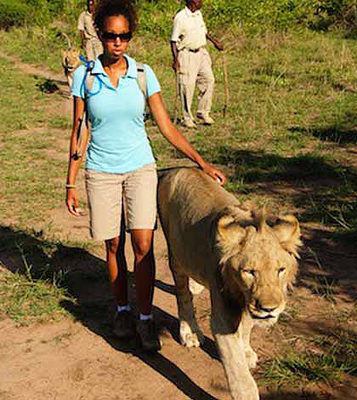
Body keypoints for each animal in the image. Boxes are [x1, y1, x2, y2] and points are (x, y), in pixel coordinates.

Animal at [157, 167, 298, 398]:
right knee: (183, 295)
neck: (241, 291)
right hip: (174, 252)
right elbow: (239, 374)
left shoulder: (249, 300)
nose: (269, 309)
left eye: (280, 270)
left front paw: (246, 351)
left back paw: (196, 286)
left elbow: (247, 327)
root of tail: (178, 168)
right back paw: (190, 331)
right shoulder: (222, 316)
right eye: (249, 272)